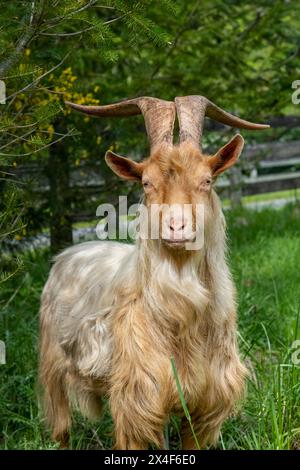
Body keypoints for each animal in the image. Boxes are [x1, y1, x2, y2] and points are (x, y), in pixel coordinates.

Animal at [38, 94, 270, 448]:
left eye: (206, 181)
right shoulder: (135, 398)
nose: (176, 226)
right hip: (53, 366)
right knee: (61, 425)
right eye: (147, 183)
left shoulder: (205, 407)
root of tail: (67, 254)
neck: (182, 318)